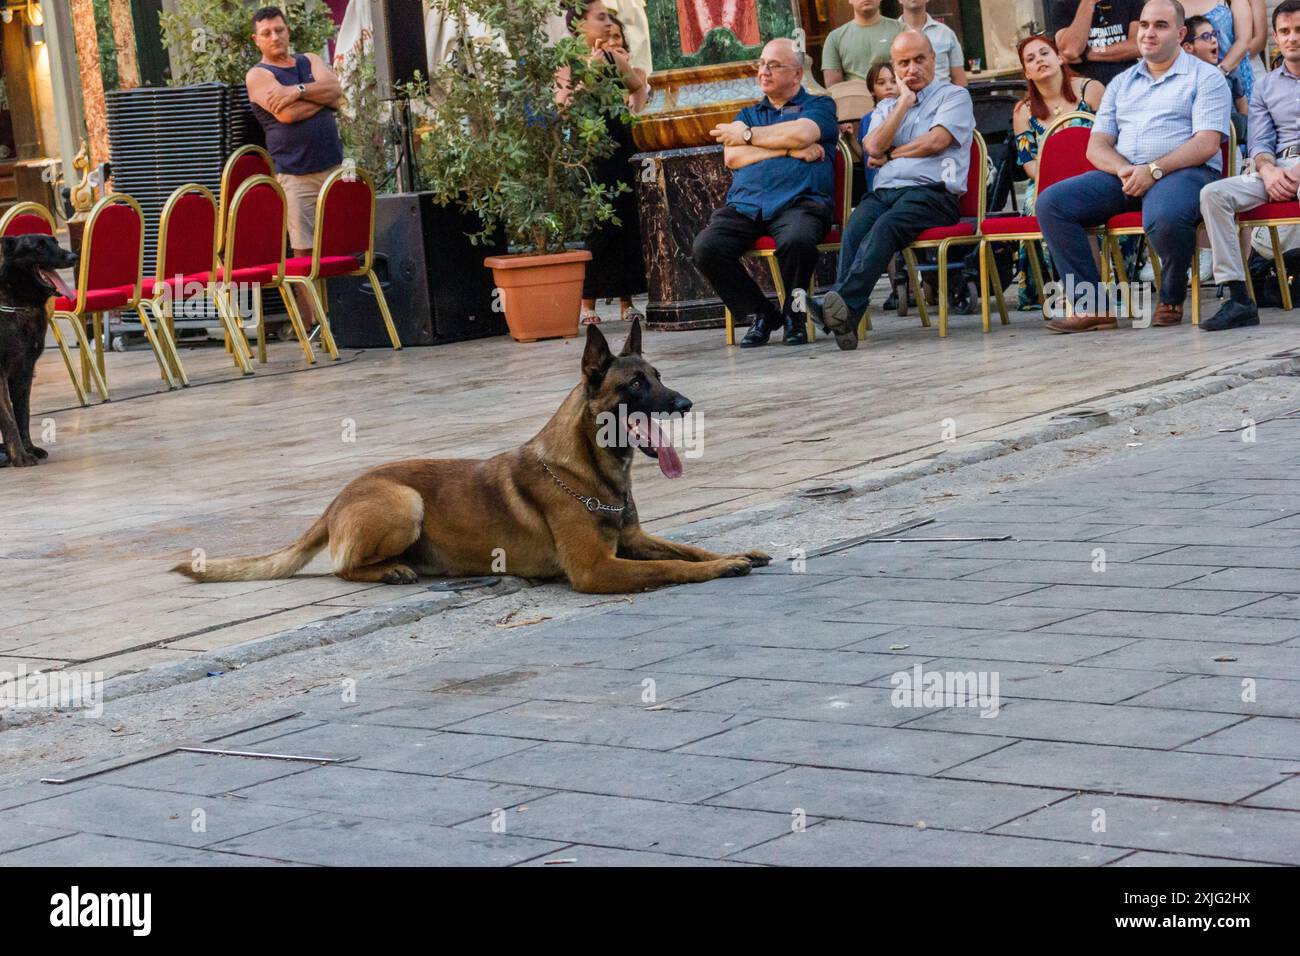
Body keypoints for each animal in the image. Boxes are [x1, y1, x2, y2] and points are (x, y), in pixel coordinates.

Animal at [0, 235, 77, 468]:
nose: (74, 256)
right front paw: (20, 456)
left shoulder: (25, 372)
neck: (17, 304)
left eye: (55, 242)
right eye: (39, 247)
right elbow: (9, 419)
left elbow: (22, 415)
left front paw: (28, 448)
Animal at [167, 321, 764, 590]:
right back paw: (393, 570)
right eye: (636, 384)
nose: (685, 404)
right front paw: (722, 567)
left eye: (659, 376)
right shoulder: (596, 569)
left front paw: (734, 552)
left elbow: (688, 546)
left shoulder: (634, 540)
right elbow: (672, 567)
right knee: (342, 568)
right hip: (404, 503)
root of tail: (335, 500)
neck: (586, 470)